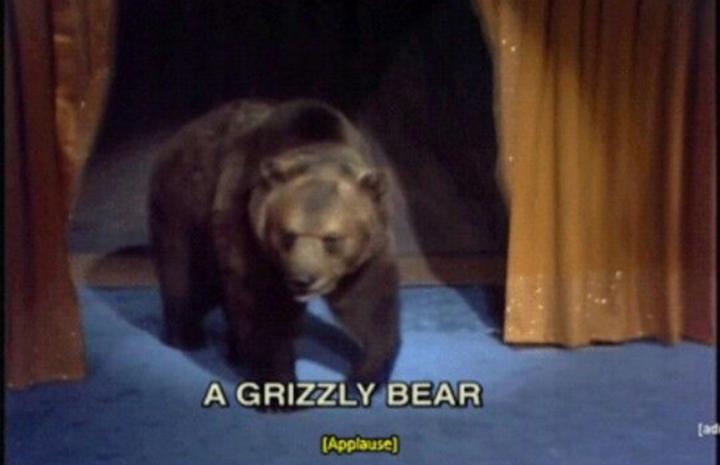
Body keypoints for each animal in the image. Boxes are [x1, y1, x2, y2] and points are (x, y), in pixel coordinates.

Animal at [148, 99, 400, 386]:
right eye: (288, 235)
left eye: (331, 238)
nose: (303, 279)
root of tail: (177, 137)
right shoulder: (247, 226)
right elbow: (262, 304)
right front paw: (279, 384)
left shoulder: (371, 244)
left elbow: (369, 299)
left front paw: (366, 371)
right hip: (184, 207)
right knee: (185, 275)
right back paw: (186, 336)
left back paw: (234, 351)